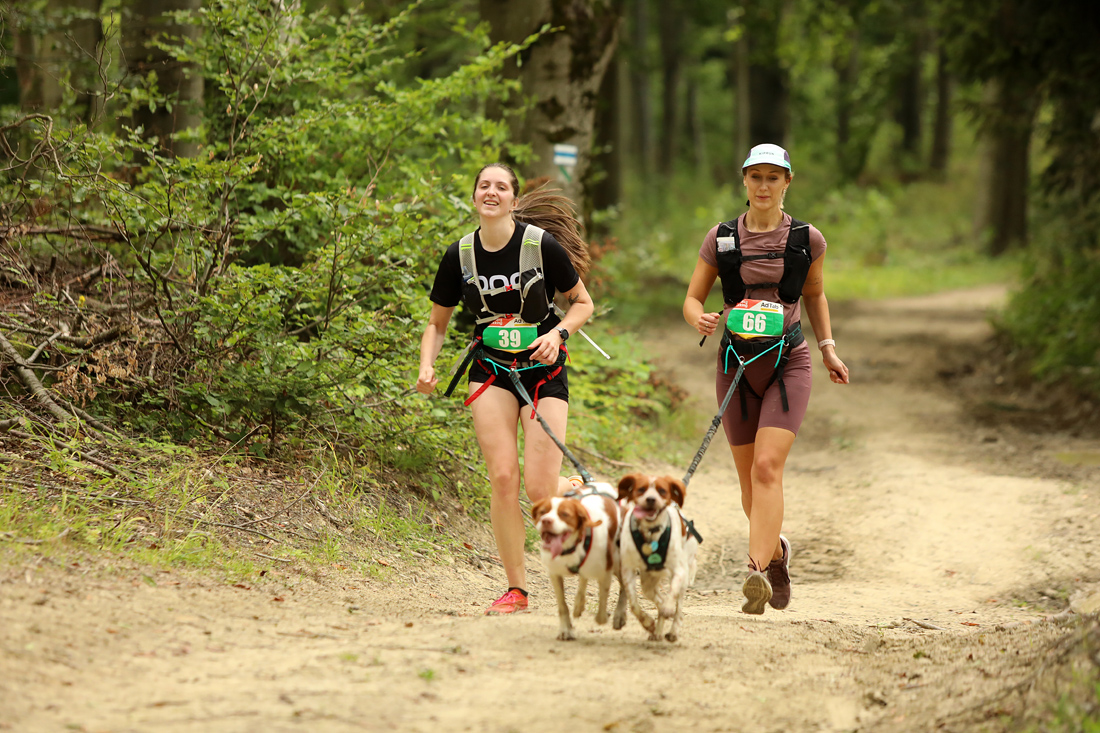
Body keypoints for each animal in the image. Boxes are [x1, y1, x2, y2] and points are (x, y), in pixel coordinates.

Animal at [531, 482, 624, 640]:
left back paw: (620, 616)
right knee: (583, 579)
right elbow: (562, 606)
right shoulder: (554, 573)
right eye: (542, 512)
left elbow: (602, 606)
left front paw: (606, 617)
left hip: (620, 563)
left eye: (565, 514)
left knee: (625, 587)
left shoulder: (606, 571)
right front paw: (565, 630)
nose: (546, 520)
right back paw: (578, 605)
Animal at [616, 473, 702, 642]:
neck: (651, 532)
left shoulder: (679, 571)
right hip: (647, 584)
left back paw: (673, 631)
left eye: (662, 491)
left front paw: (668, 609)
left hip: (684, 575)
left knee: (678, 608)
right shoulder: (628, 570)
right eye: (641, 489)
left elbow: (672, 592)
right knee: (659, 600)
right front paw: (648, 622)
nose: (651, 499)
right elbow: (634, 603)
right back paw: (657, 631)